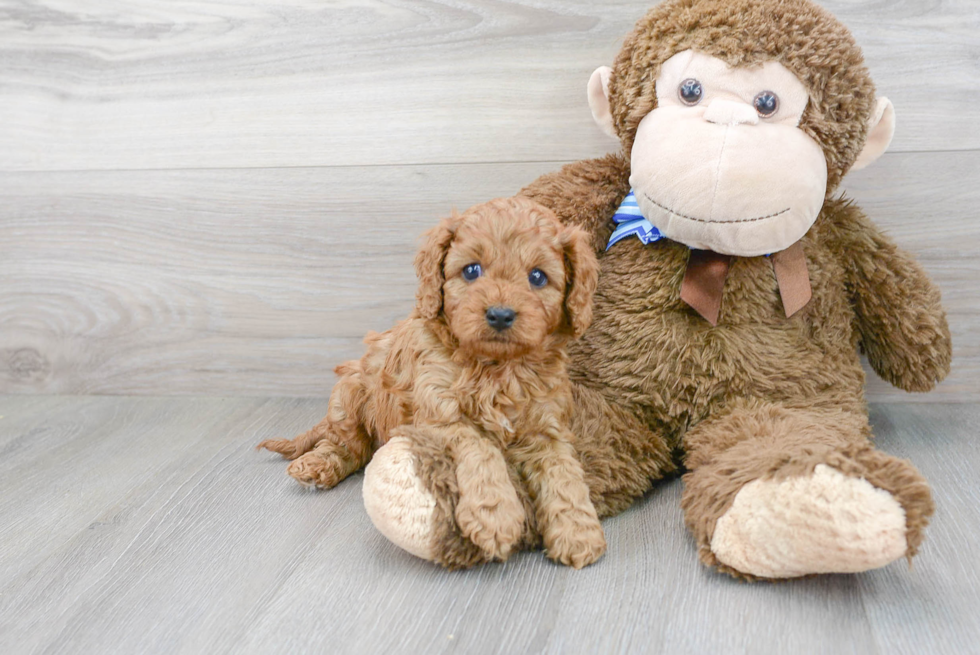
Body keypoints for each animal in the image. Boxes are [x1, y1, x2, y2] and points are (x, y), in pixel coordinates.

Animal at [256, 196, 604, 568]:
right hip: (350, 395)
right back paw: (318, 464)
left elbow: (564, 474)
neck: (496, 367)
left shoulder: (546, 427)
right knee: (347, 445)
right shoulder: (439, 415)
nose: (499, 314)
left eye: (538, 277)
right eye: (471, 270)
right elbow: (481, 448)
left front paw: (578, 531)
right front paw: (496, 517)